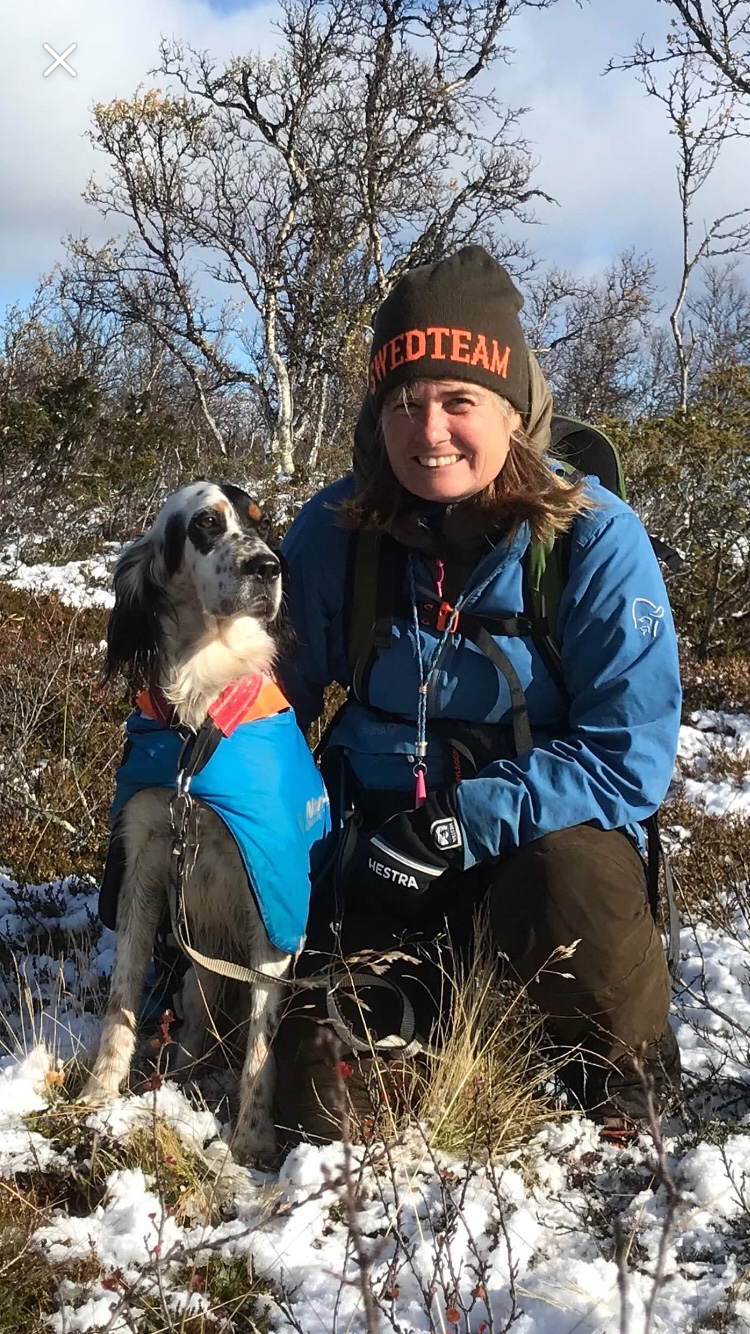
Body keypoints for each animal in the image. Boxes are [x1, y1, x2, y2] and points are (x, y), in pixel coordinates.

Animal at [81, 481, 330, 1163]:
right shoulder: (142, 862)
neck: (198, 718)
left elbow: (261, 1047)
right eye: (205, 526)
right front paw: (96, 1096)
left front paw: (250, 1141)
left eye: (262, 524)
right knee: (194, 1022)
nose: (268, 568)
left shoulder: (271, 894)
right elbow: (121, 999)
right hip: (195, 973)